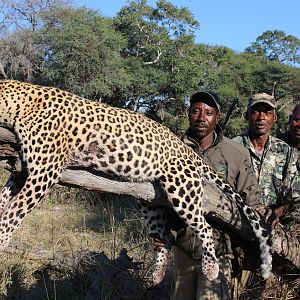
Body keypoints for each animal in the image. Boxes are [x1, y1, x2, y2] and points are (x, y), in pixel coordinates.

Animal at [0, 79, 272, 284]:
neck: (19, 104)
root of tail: (188, 150)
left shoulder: (44, 172)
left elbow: (14, 211)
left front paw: (1, 238)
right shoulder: (22, 171)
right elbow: (4, 197)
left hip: (182, 188)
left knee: (204, 227)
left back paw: (210, 268)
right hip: (150, 202)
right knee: (166, 237)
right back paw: (157, 274)